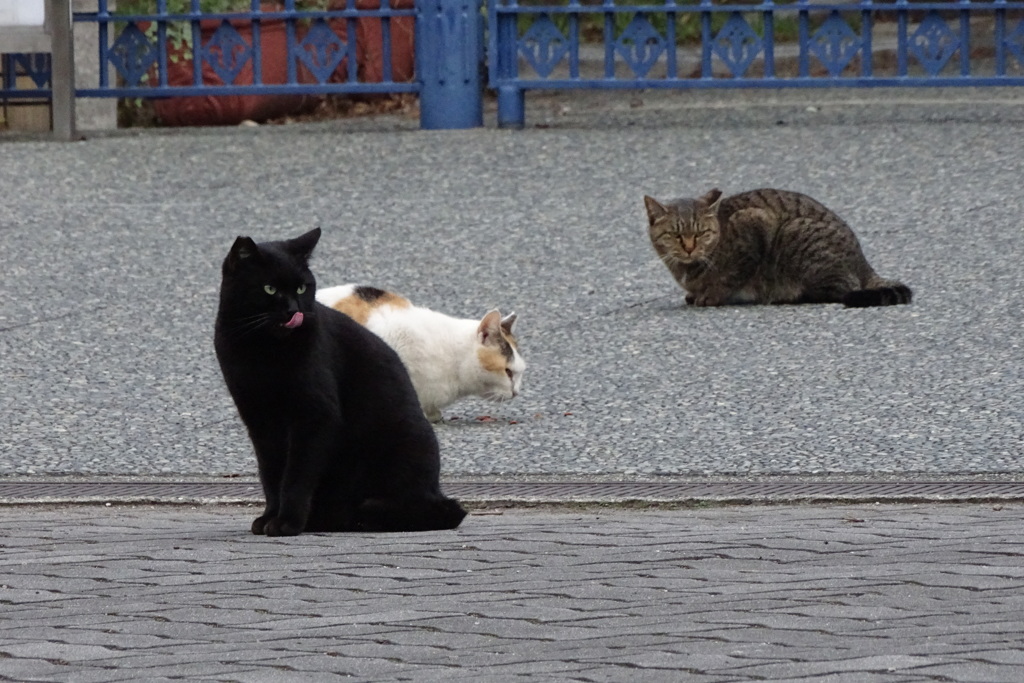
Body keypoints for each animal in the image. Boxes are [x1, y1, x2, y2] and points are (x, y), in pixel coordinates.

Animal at [214, 229, 466, 540]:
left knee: (429, 511)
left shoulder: (315, 416)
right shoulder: (259, 420)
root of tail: (436, 492)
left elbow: (295, 477)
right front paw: (270, 517)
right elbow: (270, 474)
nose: (293, 310)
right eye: (269, 289)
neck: (262, 349)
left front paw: (287, 522)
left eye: (302, 288)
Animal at [647, 185, 913, 305]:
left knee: (840, 290)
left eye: (701, 233)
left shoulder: (753, 225)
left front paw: (710, 295)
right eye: (675, 234)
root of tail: (863, 262)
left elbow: (731, 277)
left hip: (795, 235)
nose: (689, 248)